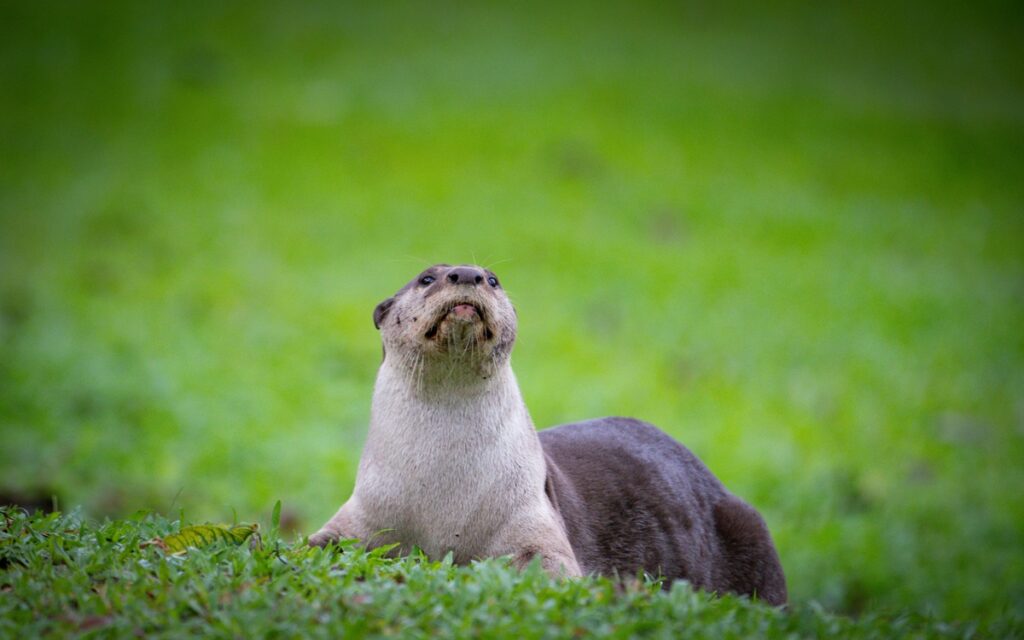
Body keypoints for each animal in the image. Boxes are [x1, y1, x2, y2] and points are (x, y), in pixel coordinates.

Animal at [309, 264, 787, 605]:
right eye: (427, 278)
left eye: (493, 278)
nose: (467, 274)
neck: (442, 495)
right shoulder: (366, 511)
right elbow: (318, 543)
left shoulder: (533, 513)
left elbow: (545, 565)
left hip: (752, 528)